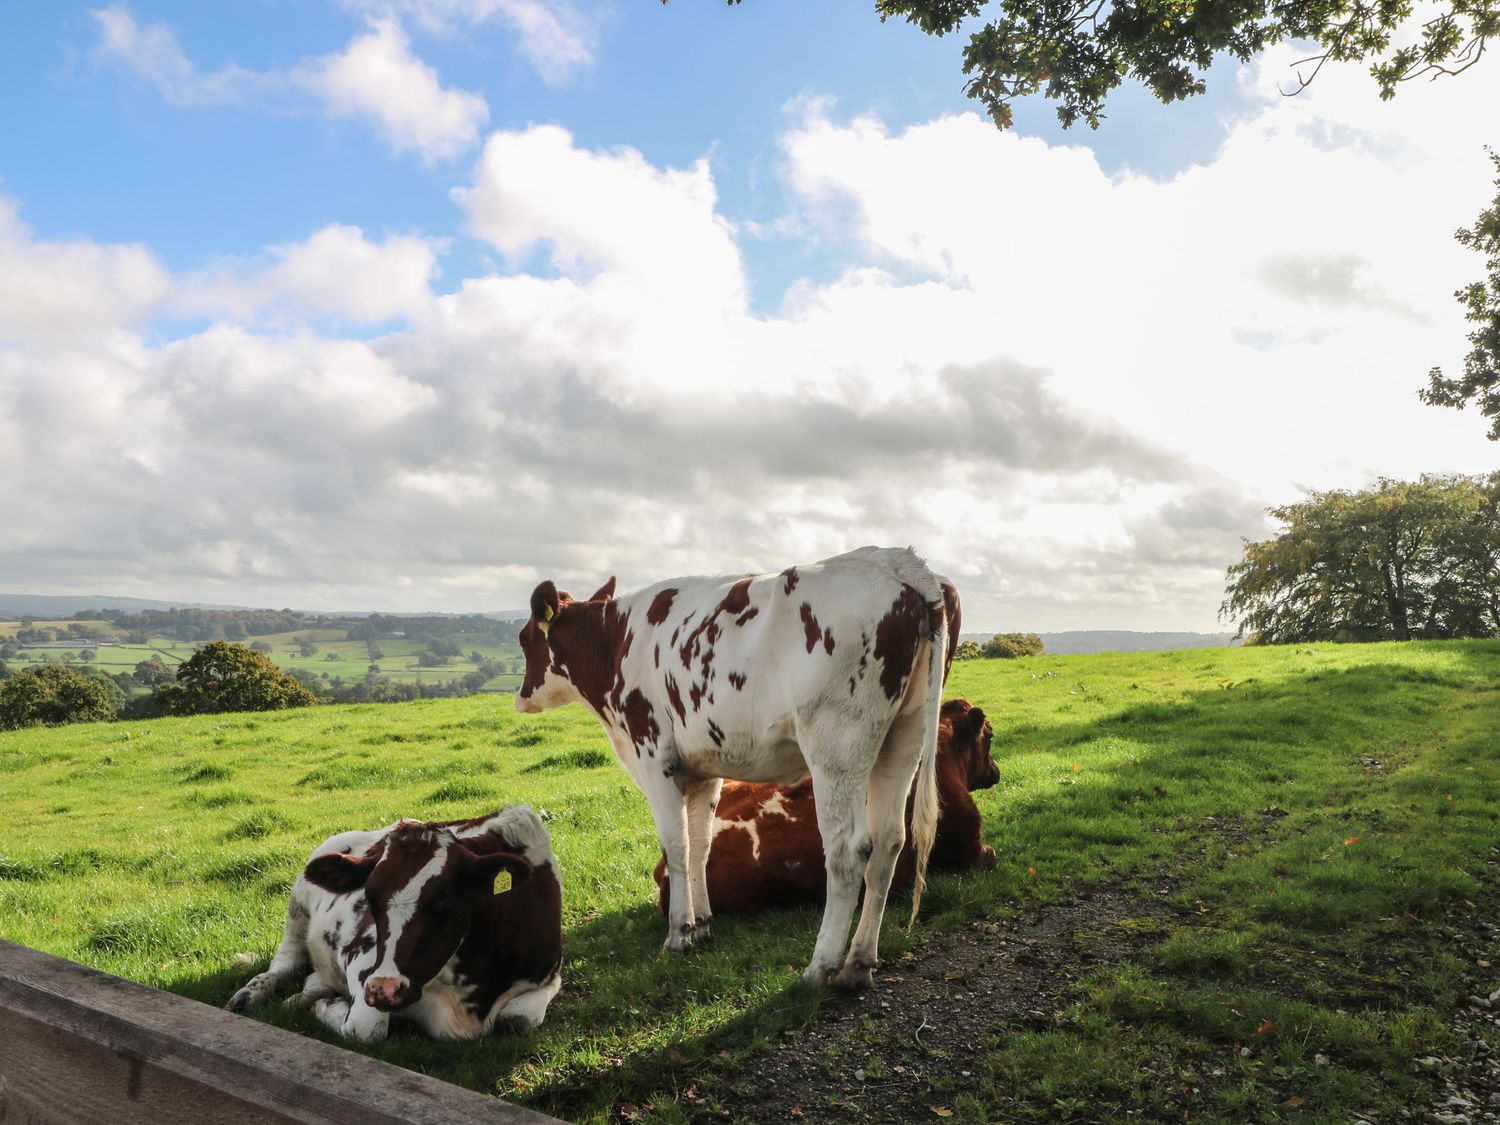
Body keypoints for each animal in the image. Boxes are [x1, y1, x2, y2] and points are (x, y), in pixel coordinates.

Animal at [228, 804, 564, 1044]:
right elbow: (366, 1028)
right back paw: (250, 995)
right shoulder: (362, 959)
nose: (384, 990)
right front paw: (327, 1005)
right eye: (370, 897)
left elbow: (518, 1019)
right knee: (283, 963)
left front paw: (314, 999)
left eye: (443, 898)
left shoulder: (549, 976)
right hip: (297, 909)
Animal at [516, 549, 960, 996]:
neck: (616, 642)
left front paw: (678, 934)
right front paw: (702, 926)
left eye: (523, 639)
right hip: (903, 736)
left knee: (848, 852)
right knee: (889, 843)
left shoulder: (654, 758)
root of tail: (896, 560)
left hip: (837, 743)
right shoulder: (704, 771)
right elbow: (700, 846)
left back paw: (821, 966)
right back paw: (858, 964)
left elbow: (676, 847)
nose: (520, 698)